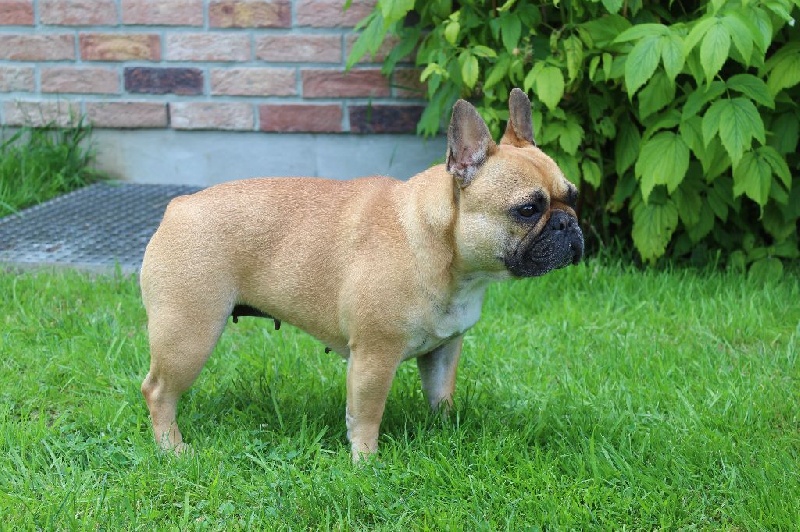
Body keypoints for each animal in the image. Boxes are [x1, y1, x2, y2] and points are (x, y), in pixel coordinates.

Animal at [140, 88, 583, 461]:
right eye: (527, 210)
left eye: (573, 197)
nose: (569, 224)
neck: (443, 249)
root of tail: (177, 207)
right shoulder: (375, 355)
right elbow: (367, 413)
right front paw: (365, 462)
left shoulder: (444, 348)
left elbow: (441, 395)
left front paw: (447, 431)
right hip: (190, 332)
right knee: (158, 390)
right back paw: (172, 449)